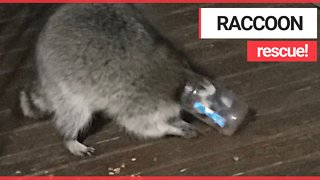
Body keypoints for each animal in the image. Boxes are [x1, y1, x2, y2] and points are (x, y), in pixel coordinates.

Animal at [20, 3, 215, 156]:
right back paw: (69, 138)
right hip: (64, 85)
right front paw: (170, 128)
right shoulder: (139, 101)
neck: (181, 80)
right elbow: (140, 126)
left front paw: (176, 122)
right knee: (76, 112)